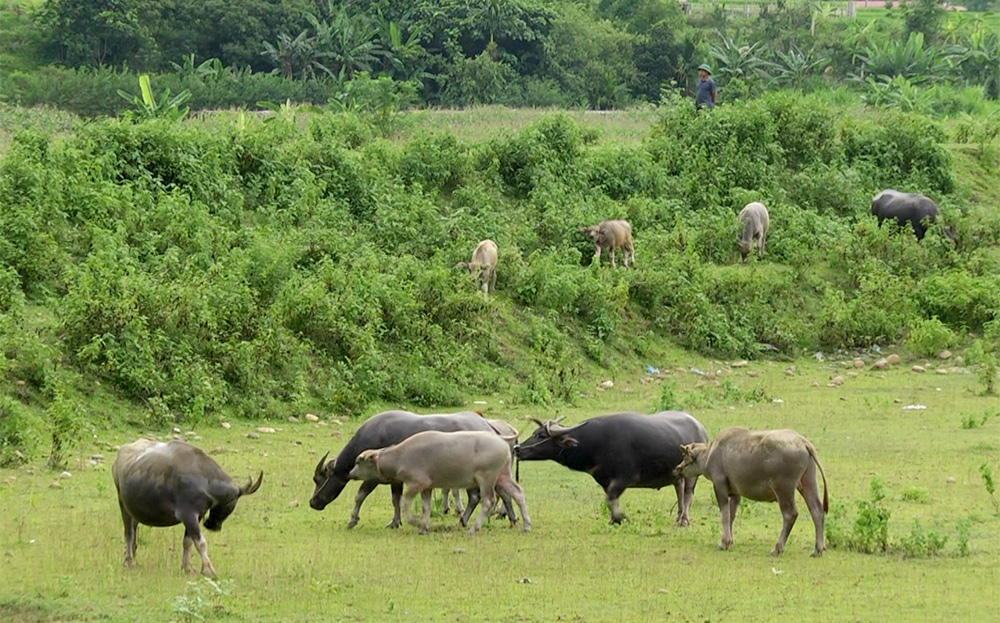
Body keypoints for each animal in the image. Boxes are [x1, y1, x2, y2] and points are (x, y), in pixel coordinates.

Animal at [111, 438, 264, 580]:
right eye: (231, 504)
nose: (213, 526)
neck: (205, 481)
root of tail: (118, 459)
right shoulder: (188, 515)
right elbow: (201, 543)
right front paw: (208, 570)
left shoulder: (197, 516)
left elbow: (188, 542)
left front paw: (188, 567)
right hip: (122, 504)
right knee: (129, 533)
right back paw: (130, 561)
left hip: (134, 510)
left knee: (134, 531)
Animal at [308, 412, 516, 528]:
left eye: (318, 479)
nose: (313, 502)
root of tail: (489, 427)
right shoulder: (395, 480)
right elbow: (396, 500)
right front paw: (395, 522)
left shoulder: (373, 478)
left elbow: (360, 495)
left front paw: (353, 520)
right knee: (498, 494)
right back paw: (508, 519)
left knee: (483, 495)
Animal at [350, 428, 528, 536]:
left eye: (358, 461)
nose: (351, 473)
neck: (400, 456)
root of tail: (500, 440)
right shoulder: (427, 487)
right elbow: (426, 507)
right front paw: (424, 527)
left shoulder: (416, 484)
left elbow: (404, 503)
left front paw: (415, 522)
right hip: (503, 475)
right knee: (517, 492)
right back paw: (526, 525)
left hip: (487, 478)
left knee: (488, 500)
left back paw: (473, 529)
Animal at [512, 414, 708, 528]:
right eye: (534, 432)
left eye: (541, 436)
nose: (517, 449)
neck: (595, 443)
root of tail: (701, 428)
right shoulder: (605, 480)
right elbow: (610, 499)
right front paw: (614, 519)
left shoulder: (623, 478)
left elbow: (611, 499)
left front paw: (621, 518)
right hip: (677, 474)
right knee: (679, 490)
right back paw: (678, 518)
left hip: (692, 473)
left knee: (688, 494)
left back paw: (684, 521)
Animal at [676, 428, 832, 556]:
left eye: (684, 457)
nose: (677, 469)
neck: (710, 454)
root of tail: (803, 442)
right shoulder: (736, 493)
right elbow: (731, 515)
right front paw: (730, 541)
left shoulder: (719, 486)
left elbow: (725, 515)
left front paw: (723, 542)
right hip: (808, 482)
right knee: (817, 511)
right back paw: (817, 549)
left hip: (784, 489)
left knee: (790, 514)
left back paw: (777, 548)